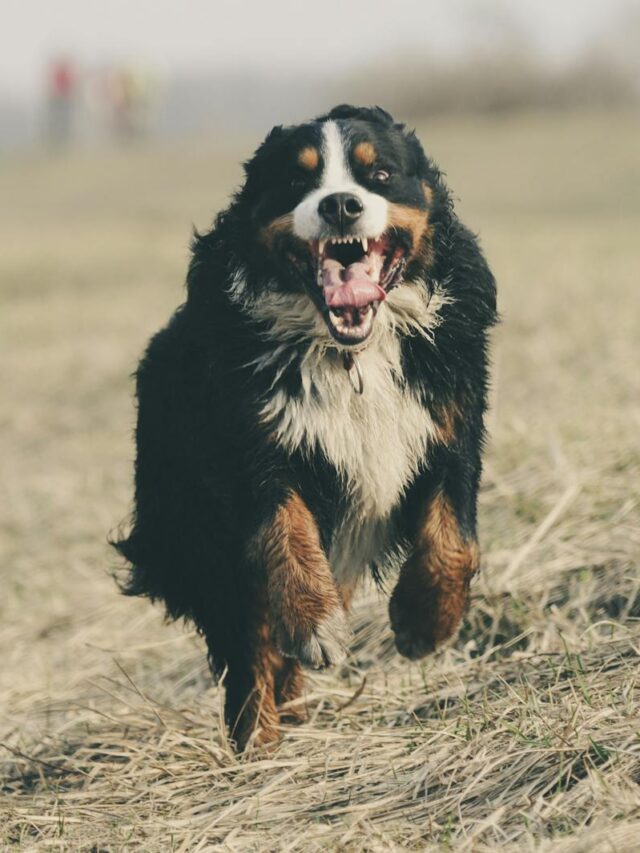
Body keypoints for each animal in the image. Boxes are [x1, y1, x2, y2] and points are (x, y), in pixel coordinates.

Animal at [112, 105, 498, 744]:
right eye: (297, 179)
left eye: (381, 174)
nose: (340, 204)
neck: (351, 356)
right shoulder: (254, 447)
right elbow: (285, 534)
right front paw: (315, 625)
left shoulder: (450, 425)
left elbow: (455, 541)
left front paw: (423, 623)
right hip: (199, 535)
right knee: (249, 646)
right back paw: (259, 740)